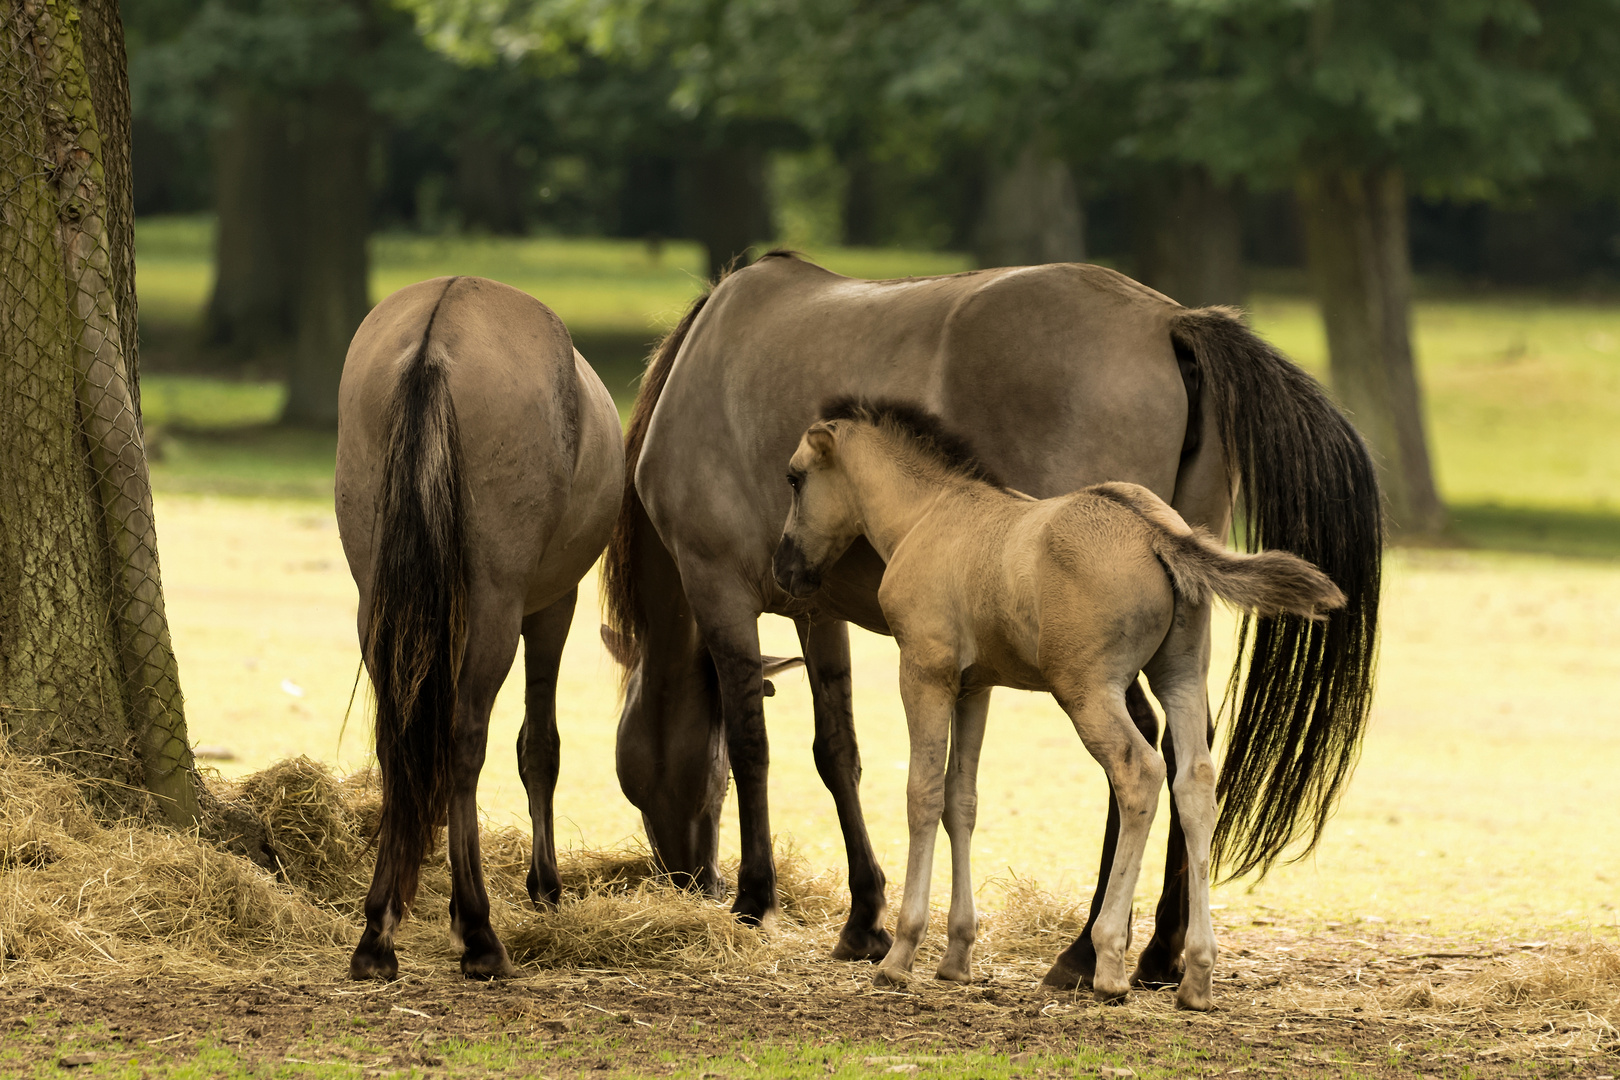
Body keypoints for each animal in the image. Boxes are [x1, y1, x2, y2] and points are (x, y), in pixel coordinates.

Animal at [336, 272, 625, 977]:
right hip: (496, 609)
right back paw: (478, 930)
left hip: (377, 604)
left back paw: (378, 930)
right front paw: (543, 886)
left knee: (397, 740)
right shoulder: (553, 606)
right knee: (465, 738)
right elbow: (539, 746)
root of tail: (437, 336)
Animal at [771, 399, 1341, 1016]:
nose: (783, 568)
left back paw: (1108, 961)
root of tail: (1156, 531)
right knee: (1194, 782)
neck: (928, 515)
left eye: (795, 478)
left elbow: (922, 795)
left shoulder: (926, 671)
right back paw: (1197, 977)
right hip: (1182, 676)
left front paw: (900, 955)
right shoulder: (976, 687)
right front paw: (957, 956)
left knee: (1140, 772)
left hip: (1087, 690)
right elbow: (961, 800)